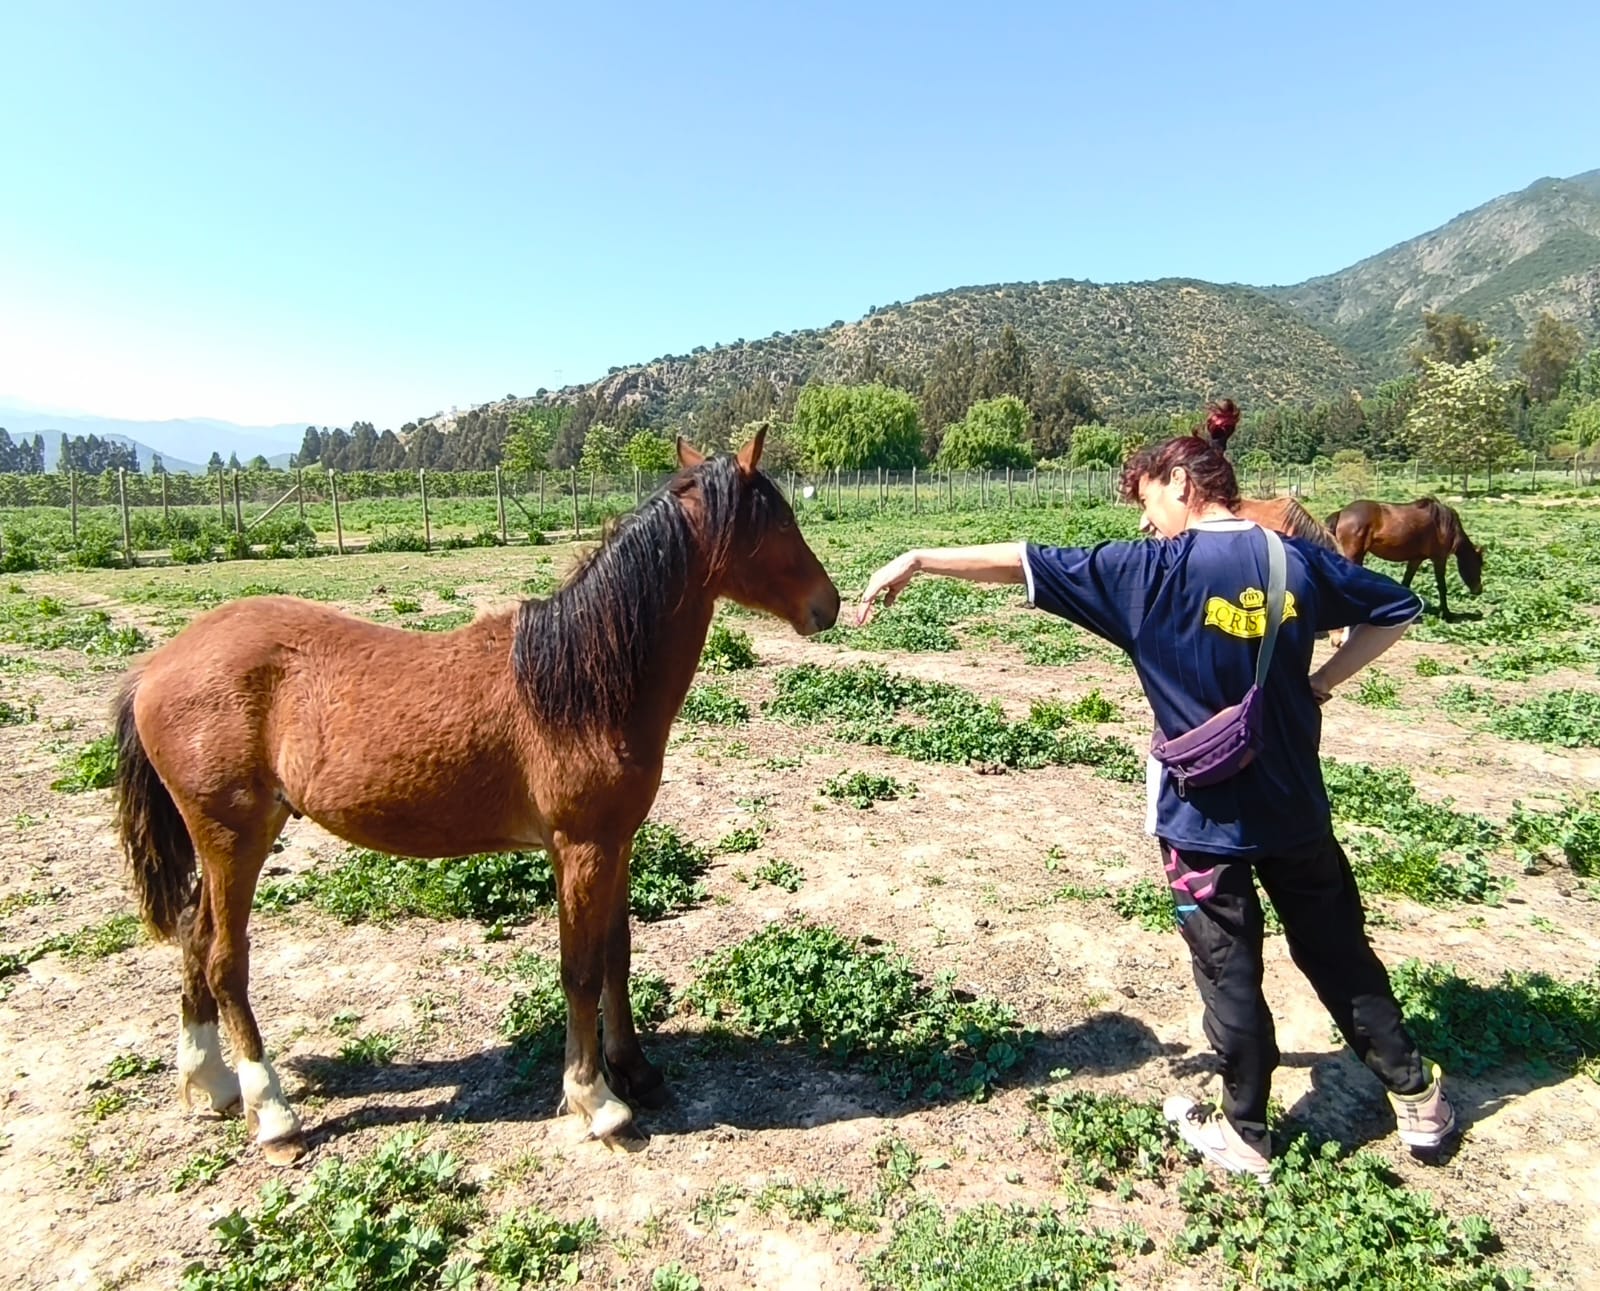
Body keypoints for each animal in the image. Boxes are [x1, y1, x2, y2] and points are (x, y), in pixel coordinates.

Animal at [112, 429, 840, 1164]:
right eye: (779, 520)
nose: (829, 604)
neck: (582, 682)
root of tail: (155, 666)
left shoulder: (616, 843)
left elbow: (617, 954)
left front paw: (636, 1069)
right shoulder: (581, 848)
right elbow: (579, 969)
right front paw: (597, 1100)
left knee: (194, 937)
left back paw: (211, 1082)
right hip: (232, 837)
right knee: (226, 961)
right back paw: (272, 1113)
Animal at [1325, 497, 1483, 620]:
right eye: (1479, 565)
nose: (1479, 590)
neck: (1443, 524)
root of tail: (1342, 513)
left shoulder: (1416, 559)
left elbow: (1406, 582)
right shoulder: (1439, 558)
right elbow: (1442, 586)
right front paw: (1447, 614)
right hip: (1353, 554)